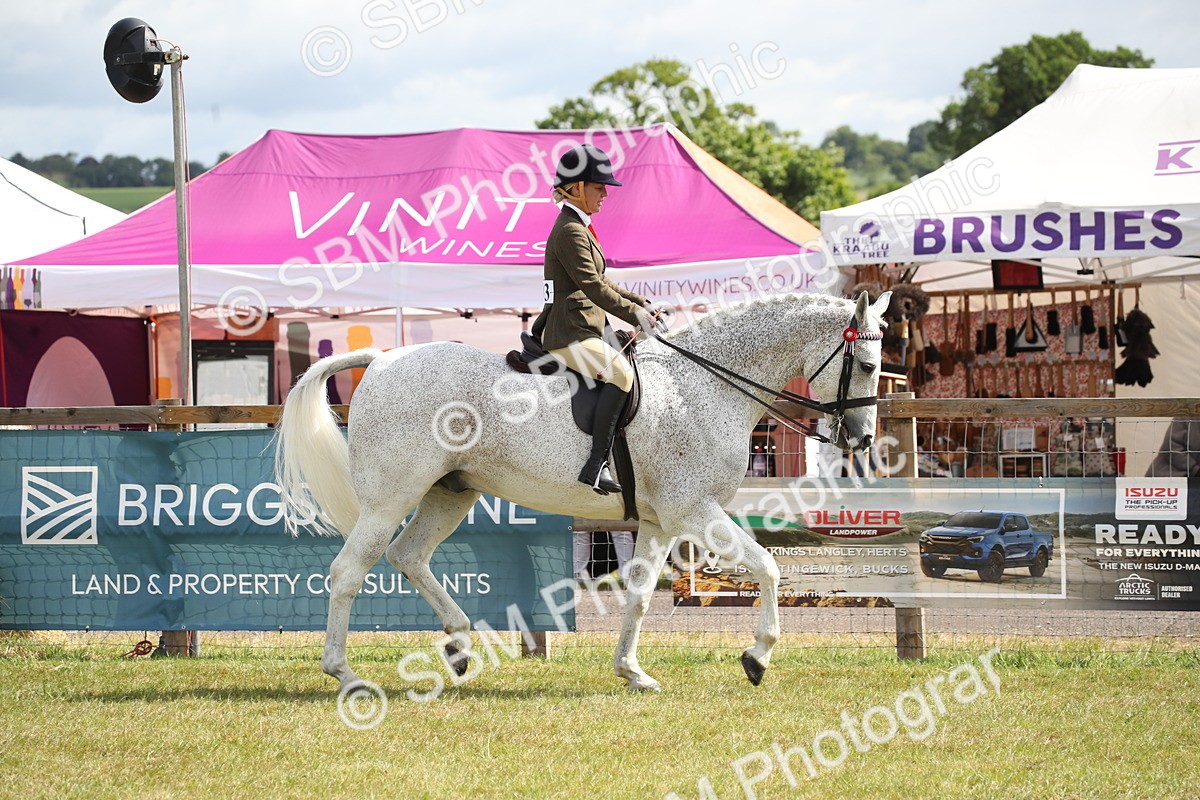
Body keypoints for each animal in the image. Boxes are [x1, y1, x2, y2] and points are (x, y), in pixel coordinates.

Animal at [274, 290, 891, 694]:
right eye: (865, 364)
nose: (861, 439)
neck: (704, 385)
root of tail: (381, 360)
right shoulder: (695, 510)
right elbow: (768, 567)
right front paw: (757, 657)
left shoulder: (660, 521)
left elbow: (639, 596)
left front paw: (632, 673)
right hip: (389, 500)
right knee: (348, 572)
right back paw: (347, 676)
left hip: (449, 494)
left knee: (408, 556)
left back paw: (458, 645)